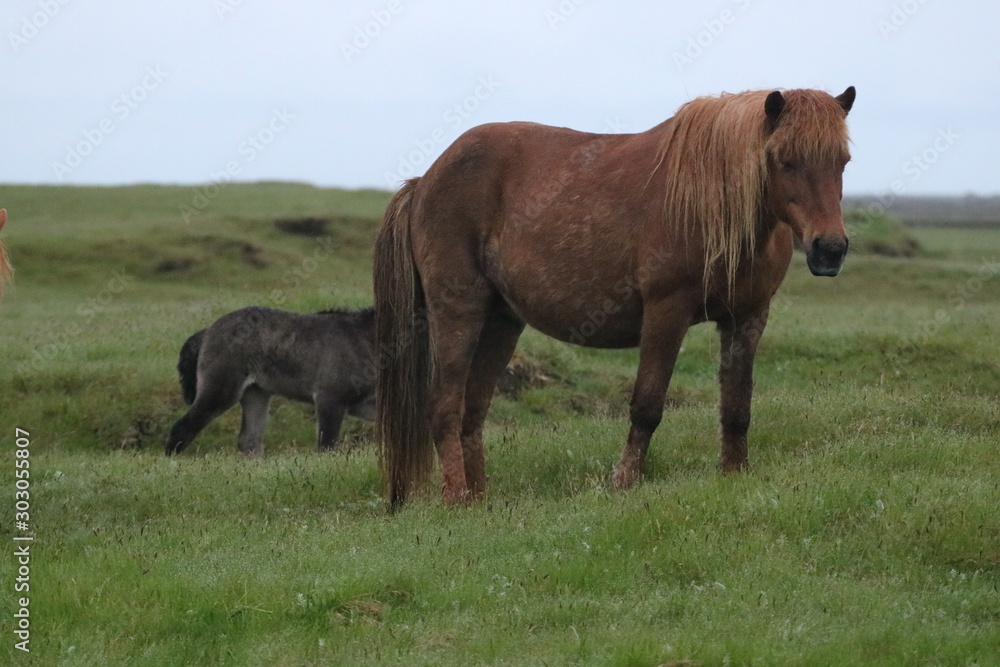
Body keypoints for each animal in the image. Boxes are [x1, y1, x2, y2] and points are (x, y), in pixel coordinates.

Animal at [166, 306, 376, 456]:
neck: (364, 340)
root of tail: (208, 330)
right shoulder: (330, 399)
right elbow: (327, 446)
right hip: (220, 391)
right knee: (182, 427)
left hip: (256, 394)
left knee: (249, 440)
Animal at [374, 86, 856, 508]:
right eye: (784, 160)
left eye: (843, 161)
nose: (829, 249)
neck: (711, 201)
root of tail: (426, 179)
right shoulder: (666, 311)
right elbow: (647, 405)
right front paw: (624, 480)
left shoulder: (748, 317)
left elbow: (737, 406)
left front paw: (735, 474)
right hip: (458, 311)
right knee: (445, 407)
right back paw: (456, 499)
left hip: (501, 321)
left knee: (472, 413)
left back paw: (479, 500)